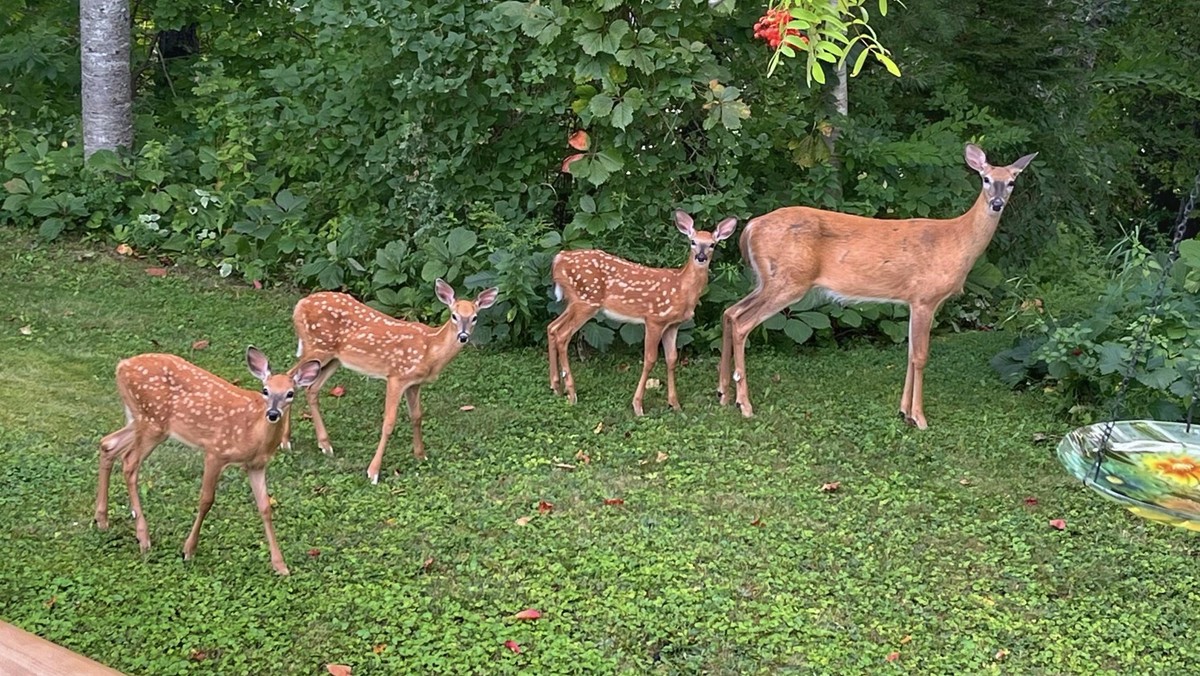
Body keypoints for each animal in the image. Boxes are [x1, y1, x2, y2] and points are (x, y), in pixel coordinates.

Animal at [95, 347, 322, 575]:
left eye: (290, 393)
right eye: (265, 390)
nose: (273, 413)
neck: (253, 433)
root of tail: (122, 365)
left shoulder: (256, 465)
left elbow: (265, 507)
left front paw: (280, 566)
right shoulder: (215, 451)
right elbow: (206, 500)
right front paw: (188, 550)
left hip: (140, 420)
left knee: (108, 444)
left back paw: (102, 519)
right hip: (153, 421)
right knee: (129, 462)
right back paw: (143, 537)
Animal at [285, 279, 499, 483]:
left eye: (475, 317)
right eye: (454, 315)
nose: (463, 336)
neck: (430, 349)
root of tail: (300, 304)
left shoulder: (414, 383)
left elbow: (417, 416)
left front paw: (421, 456)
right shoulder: (396, 376)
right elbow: (388, 423)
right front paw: (373, 472)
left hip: (334, 359)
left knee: (310, 388)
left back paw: (324, 445)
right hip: (317, 348)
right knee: (289, 377)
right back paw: (286, 441)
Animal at [548, 210, 738, 415]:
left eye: (712, 244)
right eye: (693, 242)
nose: (701, 257)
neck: (681, 288)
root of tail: (558, 259)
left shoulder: (673, 325)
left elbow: (672, 359)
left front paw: (674, 404)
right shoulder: (654, 319)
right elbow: (650, 359)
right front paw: (638, 405)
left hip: (575, 302)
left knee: (552, 327)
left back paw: (556, 387)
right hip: (586, 301)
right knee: (562, 335)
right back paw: (571, 393)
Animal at [718, 143, 1037, 429]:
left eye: (1011, 181)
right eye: (986, 179)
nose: (997, 203)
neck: (956, 241)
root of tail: (750, 229)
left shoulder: (912, 301)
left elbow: (909, 354)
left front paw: (903, 412)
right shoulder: (926, 297)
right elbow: (920, 357)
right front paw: (919, 418)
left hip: (767, 281)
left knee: (729, 312)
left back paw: (723, 393)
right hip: (789, 281)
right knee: (742, 323)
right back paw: (744, 404)